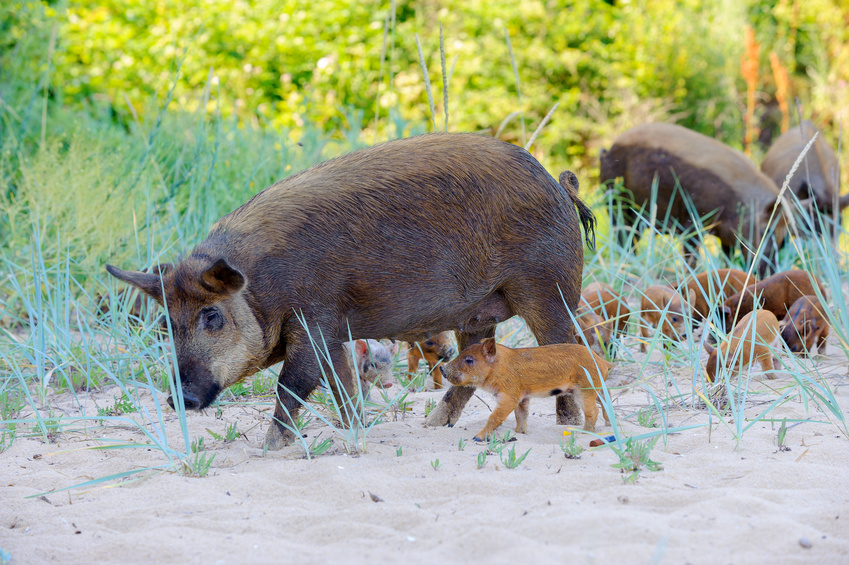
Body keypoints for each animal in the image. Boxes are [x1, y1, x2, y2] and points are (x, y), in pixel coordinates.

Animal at [438, 338, 608, 438]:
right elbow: (521, 415)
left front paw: (477, 438)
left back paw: (585, 433)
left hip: (585, 390)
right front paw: (520, 433)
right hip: (597, 389)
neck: (498, 369)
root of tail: (603, 362)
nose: (442, 369)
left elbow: (495, 417)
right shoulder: (523, 397)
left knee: (593, 411)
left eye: (469, 360)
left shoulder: (509, 395)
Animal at [600, 122, 784, 274]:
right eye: (767, 231)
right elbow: (692, 251)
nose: (770, 273)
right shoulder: (692, 217)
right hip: (614, 200)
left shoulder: (726, 235)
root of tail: (607, 150)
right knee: (623, 235)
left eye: (783, 243)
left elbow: (727, 255)